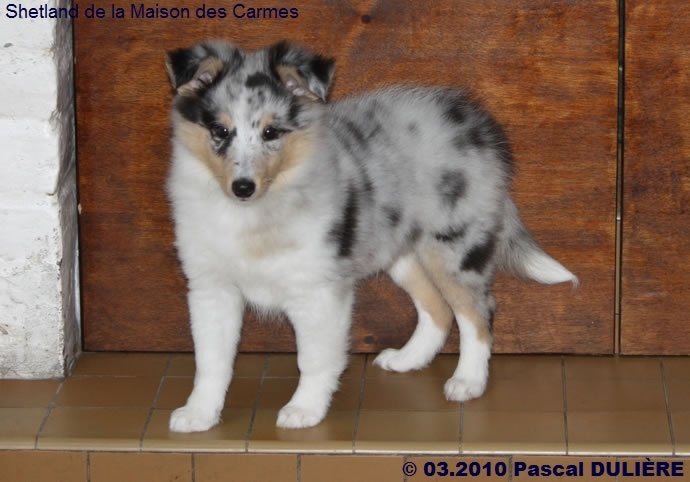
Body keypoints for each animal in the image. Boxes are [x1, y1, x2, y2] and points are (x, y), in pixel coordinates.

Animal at [164, 40, 577, 432]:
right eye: (220, 131)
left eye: (270, 132)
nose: (242, 187)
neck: (254, 214)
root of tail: (479, 124)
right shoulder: (211, 288)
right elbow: (210, 361)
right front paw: (199, 414)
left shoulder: (315, 290)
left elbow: (314, 357)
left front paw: (305, 410)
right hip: (401, 249)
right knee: (439, 309)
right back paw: (408, 359)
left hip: (454, 245)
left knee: (477, 311)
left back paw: (468, 382)